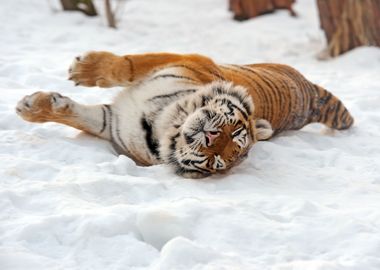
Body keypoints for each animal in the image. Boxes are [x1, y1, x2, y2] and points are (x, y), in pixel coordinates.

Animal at [14, 52, 354, 179]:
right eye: (235, 132)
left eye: (218, 161)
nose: (211, 137)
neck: (161, 121)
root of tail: (310, 91)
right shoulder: (181, 59)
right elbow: (125, 66)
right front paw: (83, 69)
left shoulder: (112, 124)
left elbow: (81, 117)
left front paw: (30, 106)